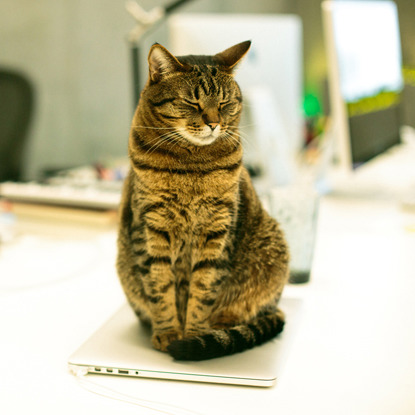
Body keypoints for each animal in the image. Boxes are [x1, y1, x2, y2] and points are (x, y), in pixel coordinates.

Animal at [117, 40, 290, 362]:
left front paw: (194, 335)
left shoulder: (217, 229)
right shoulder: (150, 228)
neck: (192, 165)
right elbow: (160, 287)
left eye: (224, 103)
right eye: (192, 103)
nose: (214, 123)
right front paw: (168, 333)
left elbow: (203, 289)